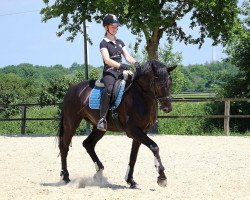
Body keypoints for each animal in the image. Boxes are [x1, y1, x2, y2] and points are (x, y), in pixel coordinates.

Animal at [58, 59, 176, 188]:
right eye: (159, 84)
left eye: (170, 83)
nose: (167, 108)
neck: (139, 96)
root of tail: (72, 88)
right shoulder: (133, 130)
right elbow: (154, 147)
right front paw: (162, 177)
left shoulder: (141, 132)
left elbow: (133, 156)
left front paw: (130, 180)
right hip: (71, 123)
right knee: (64, 146)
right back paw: (66, 176)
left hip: (99, 128)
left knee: (88, 144)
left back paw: (99, 171)